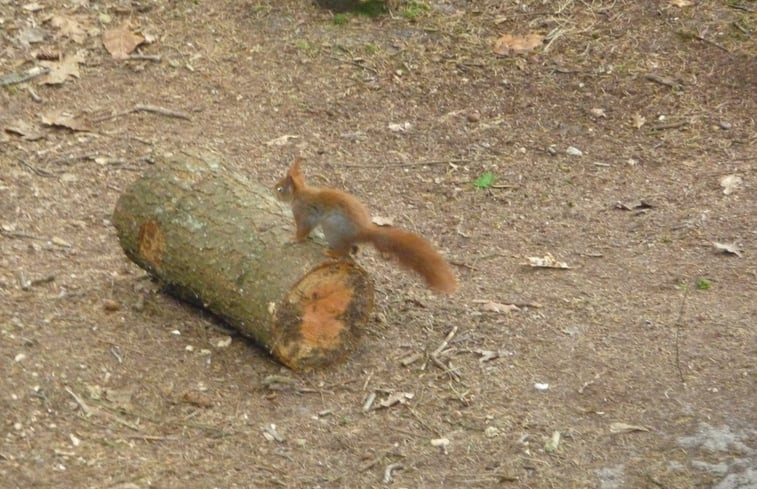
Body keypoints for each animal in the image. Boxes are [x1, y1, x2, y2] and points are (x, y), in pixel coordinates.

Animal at [276, 159, 458, 294]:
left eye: (280, 189)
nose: (273, 189)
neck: (299, 193)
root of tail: (363, 231)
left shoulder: (304, 213)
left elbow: (303, 229)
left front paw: (294, 239)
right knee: (353, 248)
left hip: (332, 227)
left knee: (344, 251)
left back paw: (332, 252)